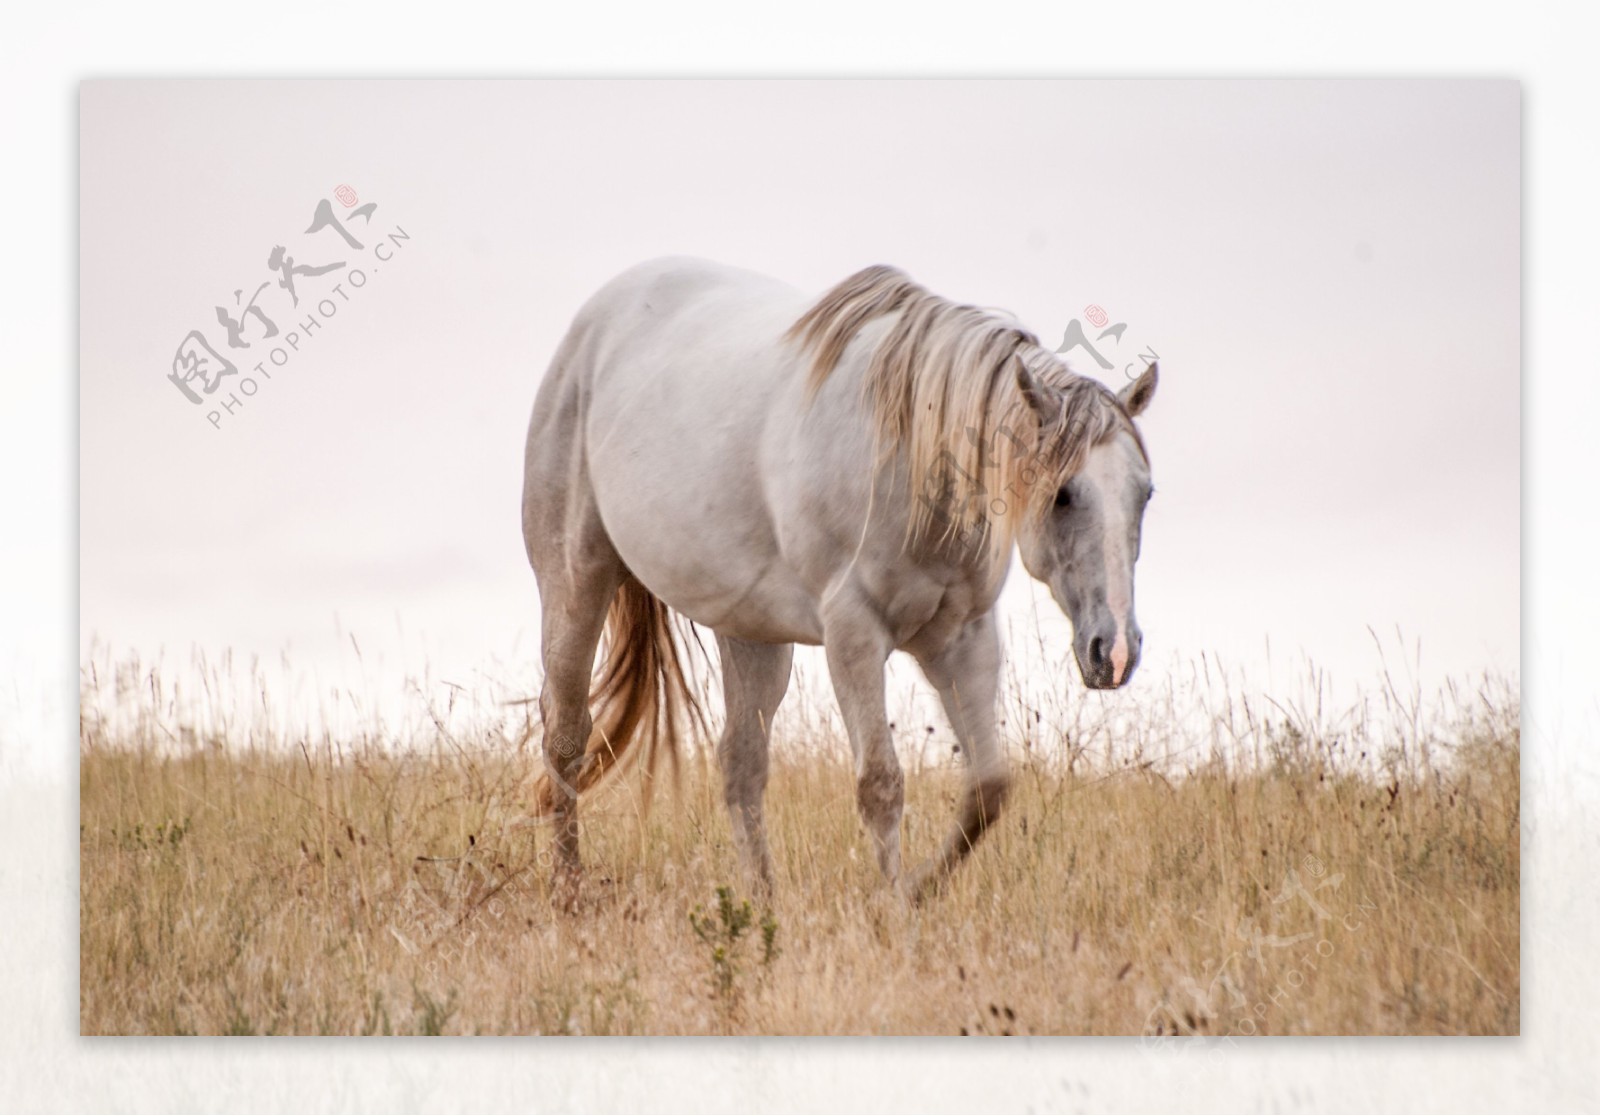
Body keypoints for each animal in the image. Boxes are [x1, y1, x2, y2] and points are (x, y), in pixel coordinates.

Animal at [524, 255, 1164, 901]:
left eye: (1146, 493)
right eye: (1063, 495)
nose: (1115, 652)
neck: (912, 462)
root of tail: (595, 323)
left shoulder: (964, 639)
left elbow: (988, 789)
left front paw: (915, 891)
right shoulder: (854, 636)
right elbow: (881, 785)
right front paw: (891, 907)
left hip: (750, 633)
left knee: (741, 765)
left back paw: (762, 902)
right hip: (576, 581)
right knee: (567, 735)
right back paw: (568, 887)